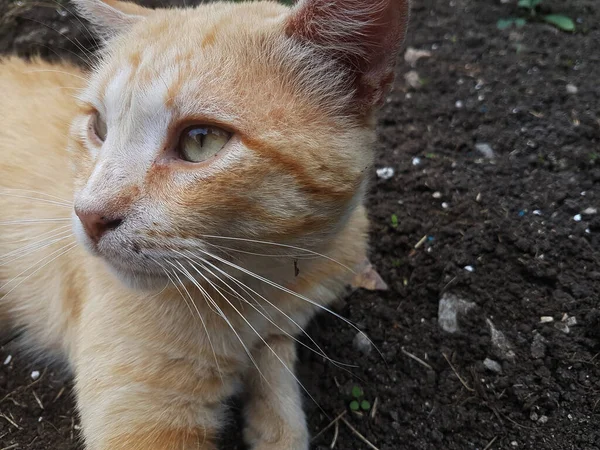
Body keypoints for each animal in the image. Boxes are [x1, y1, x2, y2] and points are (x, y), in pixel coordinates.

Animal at [0, 0, 408, 446]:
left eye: (200, 140)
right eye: (100, 127)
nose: (89, 215)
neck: (264, 289)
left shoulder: (291, 316)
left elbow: (278, 378)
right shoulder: (145, 419)